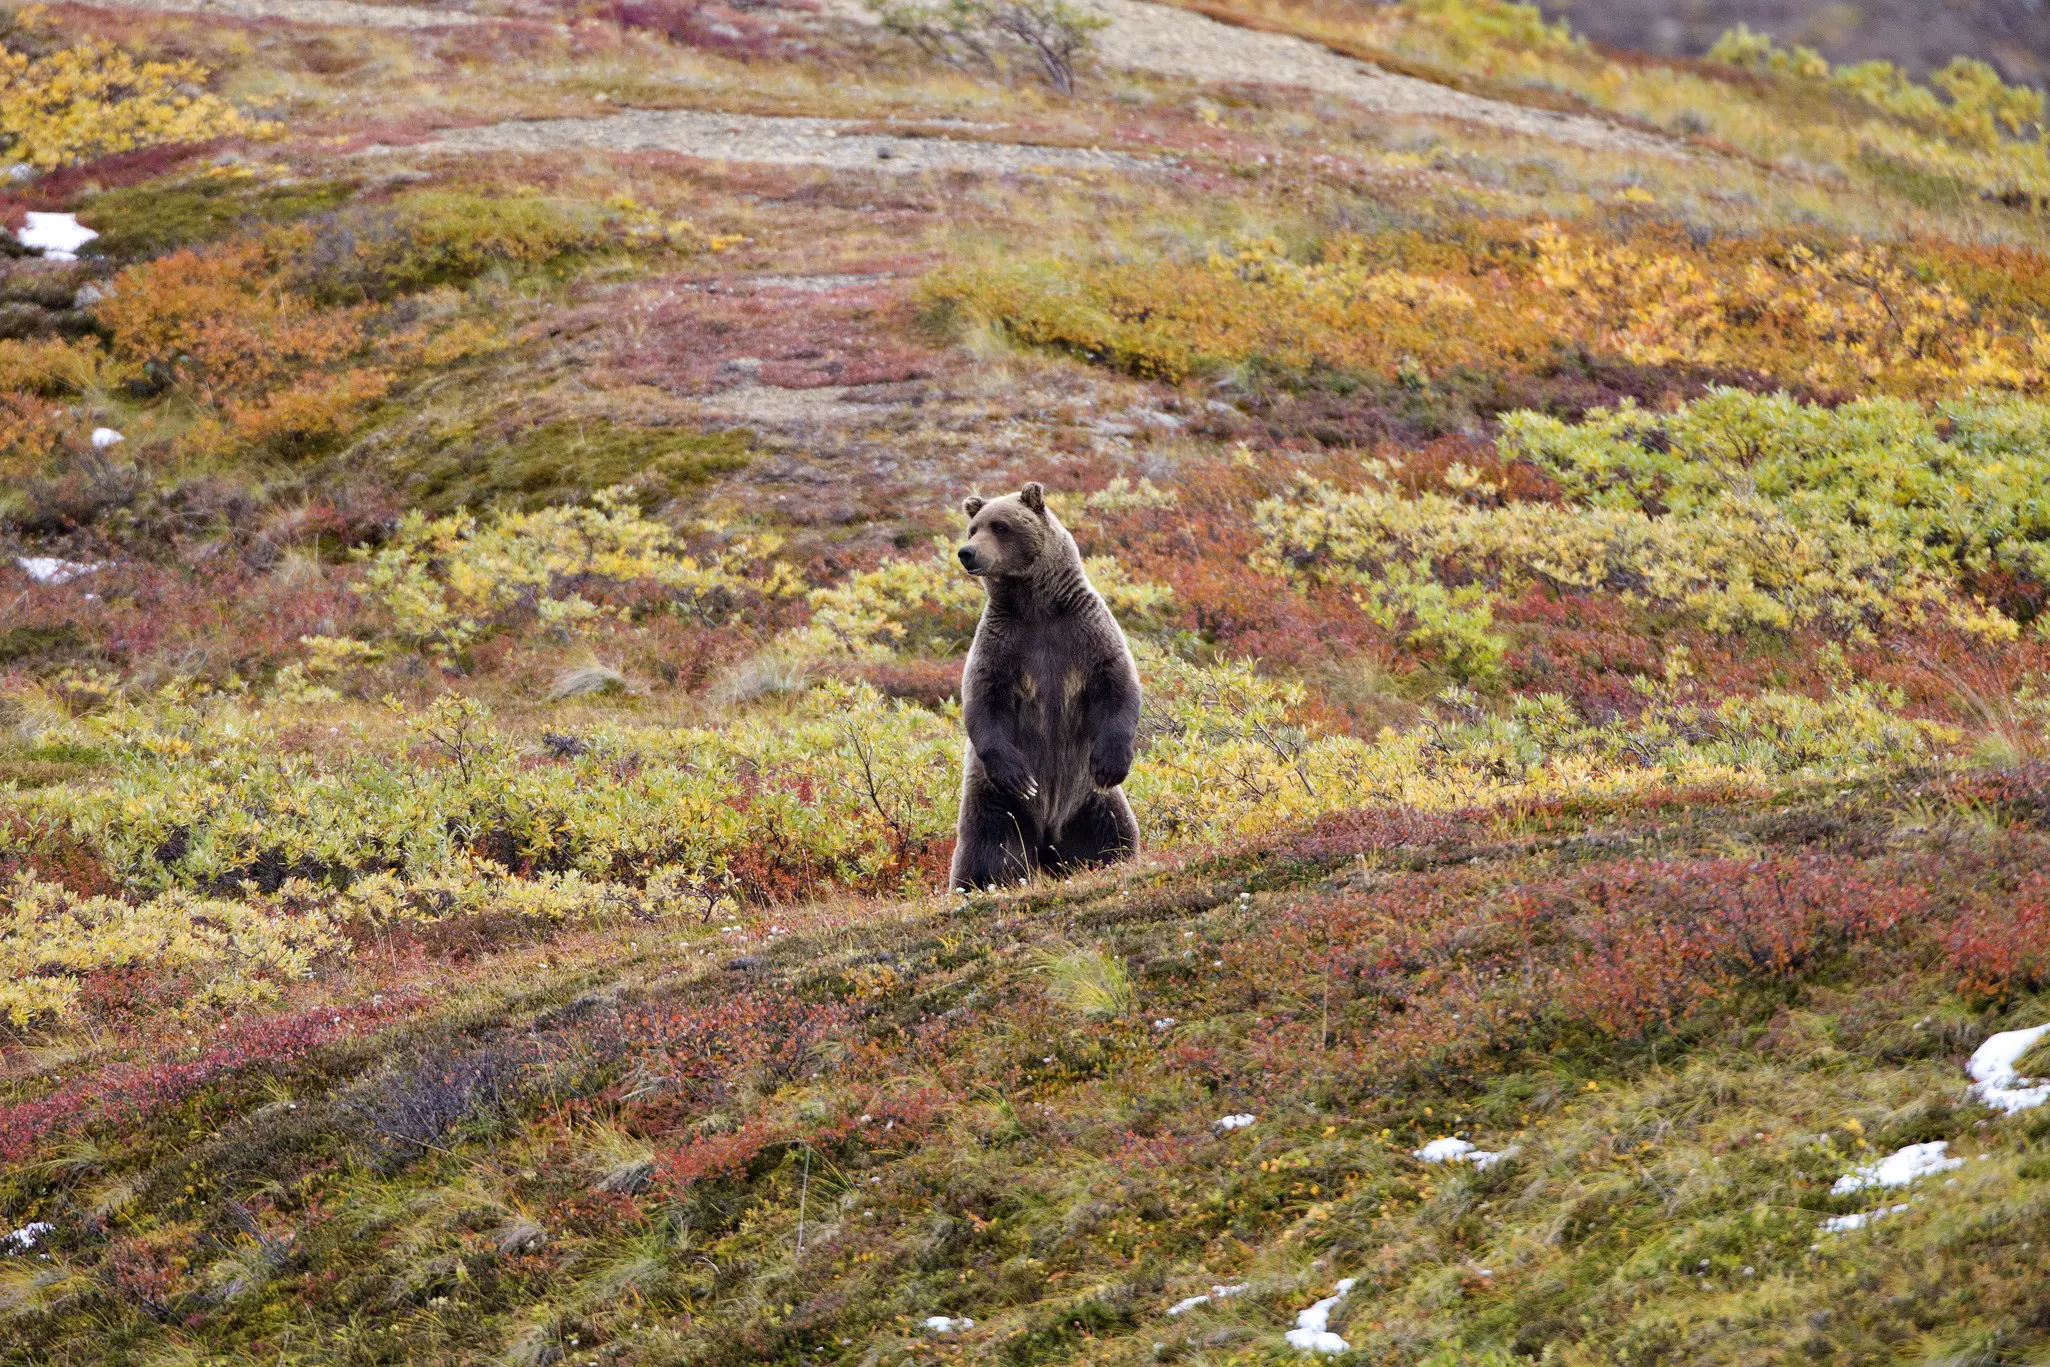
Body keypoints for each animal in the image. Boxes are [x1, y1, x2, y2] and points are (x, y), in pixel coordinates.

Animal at [950, 481, 1142, 890]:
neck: (1036, 606)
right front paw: (1020, 777)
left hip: (1088, 802)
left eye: (1000, 526)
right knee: (987, 849)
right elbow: (982, 700)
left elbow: (1117, 682)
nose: (967, 552)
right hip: (996, 803)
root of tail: (1048, 836)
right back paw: (976, 884)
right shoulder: (1002, 644)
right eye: (973, 528)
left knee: (1114, 834)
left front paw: (1110, 763)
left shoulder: (1084, 630)